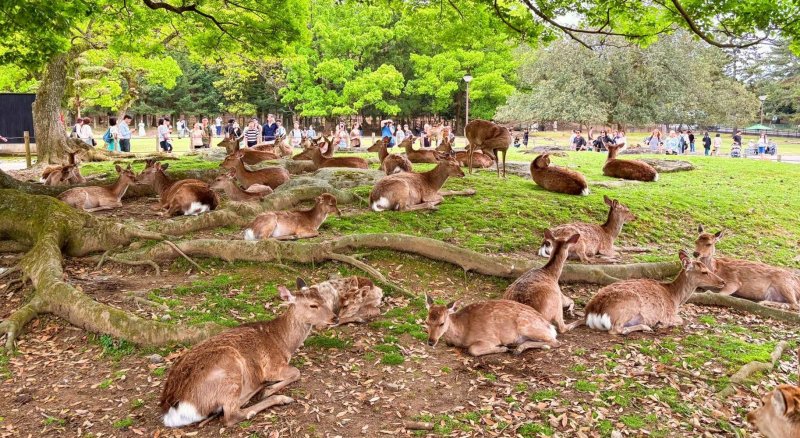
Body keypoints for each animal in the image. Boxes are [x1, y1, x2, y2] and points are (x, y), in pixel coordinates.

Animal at [159, 283, 338, 427]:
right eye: (313, 305)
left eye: (324, 299)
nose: (335, 318)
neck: (284, 343)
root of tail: (173, 411)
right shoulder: (272, 366)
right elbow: (297, 372)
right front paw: (269, 389)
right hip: (230, 370)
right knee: (231, 415)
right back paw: (276, 396)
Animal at [425, 295, 559, 356]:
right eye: (426, 322)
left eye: (442, 323)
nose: (431, 342)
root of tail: (550, 326)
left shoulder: (489, 338)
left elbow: (472, 349)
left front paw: (502, 348)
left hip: (526, 326)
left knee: (556, 342)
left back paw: (515, 348)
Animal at [567, 250, 726, 335]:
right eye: (704, 271)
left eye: (708, 268)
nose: (722, 282)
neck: (674, 298)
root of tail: (591, 313)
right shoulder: (668, 314)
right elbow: (681, 320)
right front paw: (661, 325)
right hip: (629, 305)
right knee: (616, 329)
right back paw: (646, 327)